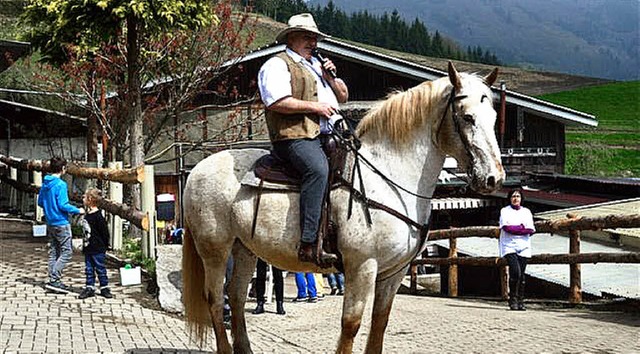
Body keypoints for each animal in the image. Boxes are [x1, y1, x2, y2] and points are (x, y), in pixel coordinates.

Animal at [180, 62, 504, 352]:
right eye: (467, 117)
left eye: (493, 116)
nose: (493, 178)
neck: (388, 177)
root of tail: (196, 171)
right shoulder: (362, 266)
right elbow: (351, 325)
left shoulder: (394, 272)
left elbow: (379, 326)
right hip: (214, 250)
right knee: (215, 299)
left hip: (244, 249)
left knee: (235, 297)